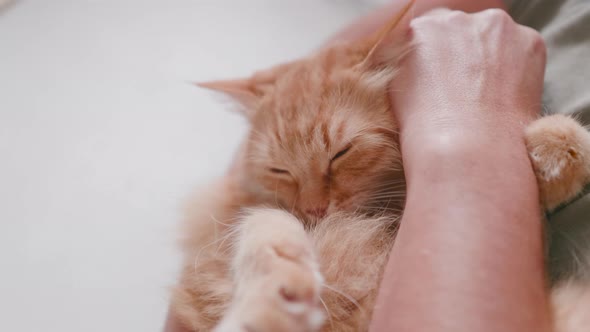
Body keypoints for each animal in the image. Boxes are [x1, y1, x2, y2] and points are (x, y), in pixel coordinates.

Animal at [171, 3, 590, 332]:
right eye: (280, 171)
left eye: (341, 153)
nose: (314, 210)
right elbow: (263, 223)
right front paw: (275, 296)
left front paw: (557, 144)